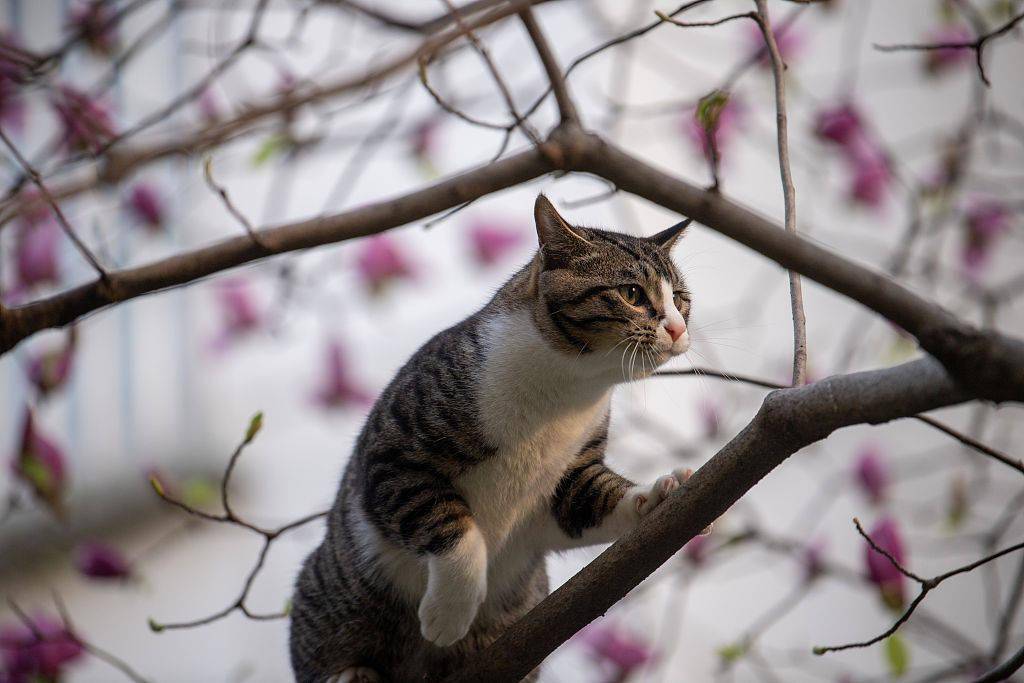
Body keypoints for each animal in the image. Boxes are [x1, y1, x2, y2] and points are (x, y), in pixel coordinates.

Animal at [292, 193, 700, 683]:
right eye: (633, 294)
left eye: (681, 299)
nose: (678, 328)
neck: (566, 391)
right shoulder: (396, 454)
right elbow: (455, 529)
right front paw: (449, 616)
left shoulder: (571, 473)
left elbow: (591, 499)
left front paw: (660, 493)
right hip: (335, 594)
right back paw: (353, 673)